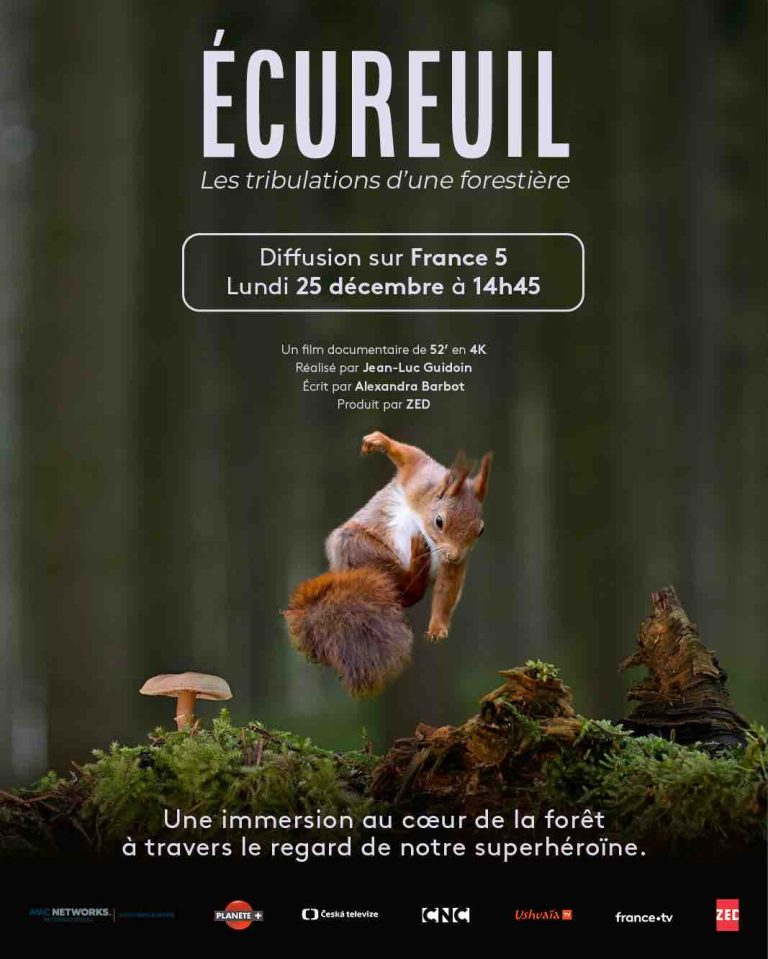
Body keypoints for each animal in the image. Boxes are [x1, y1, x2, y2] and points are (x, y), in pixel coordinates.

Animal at [284, 430, 492, 697]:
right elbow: (410, 455)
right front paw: (378, 441)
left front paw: (438, 628)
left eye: (480, 530)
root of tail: (340, 571)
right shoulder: (419, 477)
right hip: (357, 548)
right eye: (439, 521)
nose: (454, 555)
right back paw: (414, 564)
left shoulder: (452, 562)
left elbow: (447, 591)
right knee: (401, 586)